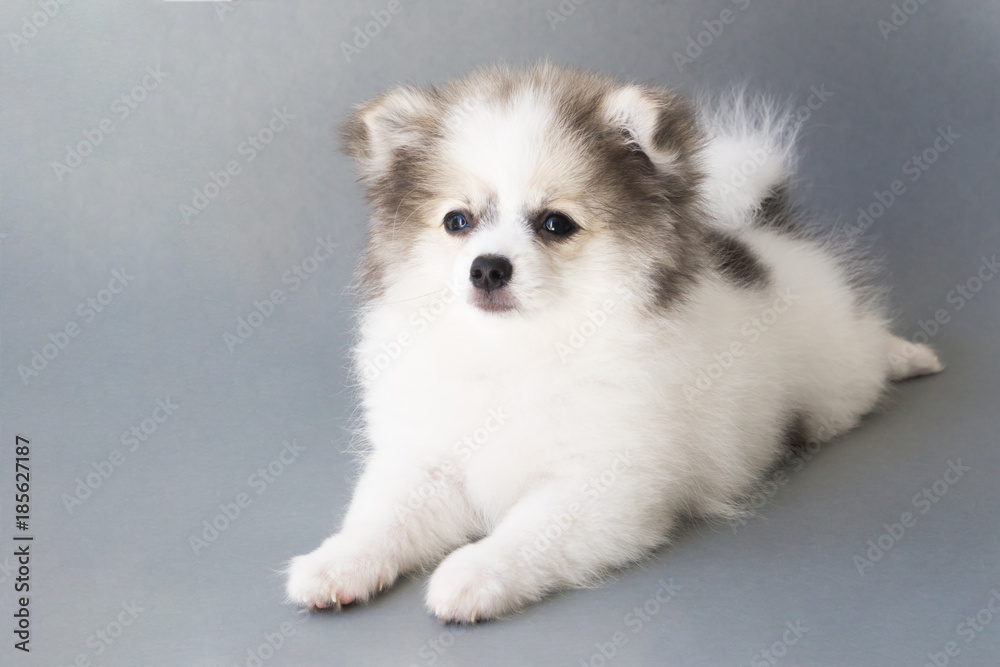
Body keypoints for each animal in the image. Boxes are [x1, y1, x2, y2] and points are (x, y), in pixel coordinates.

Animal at [286, 65, 940, 624]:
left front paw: (475, 572)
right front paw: (337, 562)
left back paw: (908, 356)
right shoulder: (427, 457)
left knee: (865, 359)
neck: (516, 348)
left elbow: (529, 531)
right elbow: (383, 518)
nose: (487, 267)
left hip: (836, 377)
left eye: (555, 224)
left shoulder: (605, 483)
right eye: (457, 222)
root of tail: (764, 236)